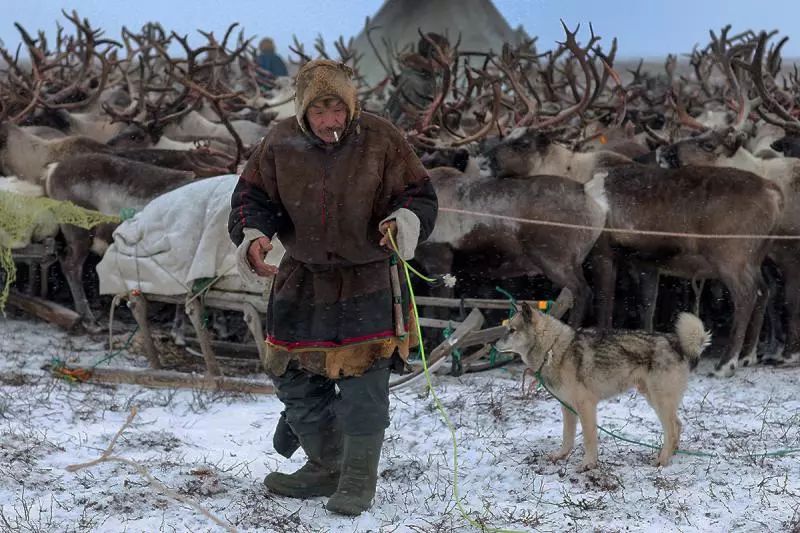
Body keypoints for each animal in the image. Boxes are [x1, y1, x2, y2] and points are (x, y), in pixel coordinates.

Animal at [494, 302, 712, 468]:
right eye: (506, 328)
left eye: (511, 330)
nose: (493, 345)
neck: (553, 349)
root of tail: (676, 343)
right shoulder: (568, 407)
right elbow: (567, 438)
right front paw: (561, 456)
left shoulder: (586, 406)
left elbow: (589, 439)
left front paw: (588, 465)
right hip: (654, 399)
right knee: (678, 425)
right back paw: (672, 454)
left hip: (659, 401)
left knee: (672, 429)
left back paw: (662, 460)